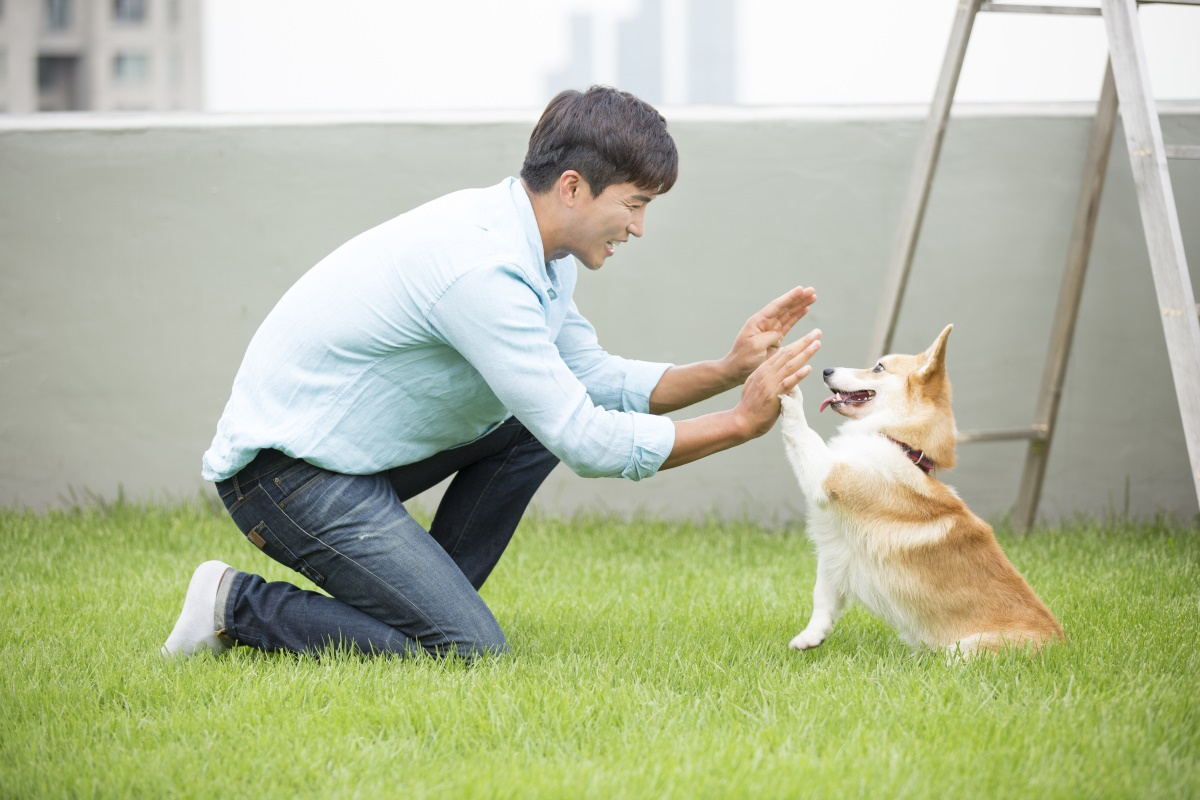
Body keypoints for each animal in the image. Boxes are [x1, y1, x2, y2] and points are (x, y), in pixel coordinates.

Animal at [777, 326, 1060, 657]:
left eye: (879, 367)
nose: (826, 370)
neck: (901, 443)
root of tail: (1061, 643)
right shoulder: (838, 551)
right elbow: (823, 598)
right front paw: (810, 638)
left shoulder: (827, 474)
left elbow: (803, 433)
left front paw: (791, 393)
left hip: (966, 649)